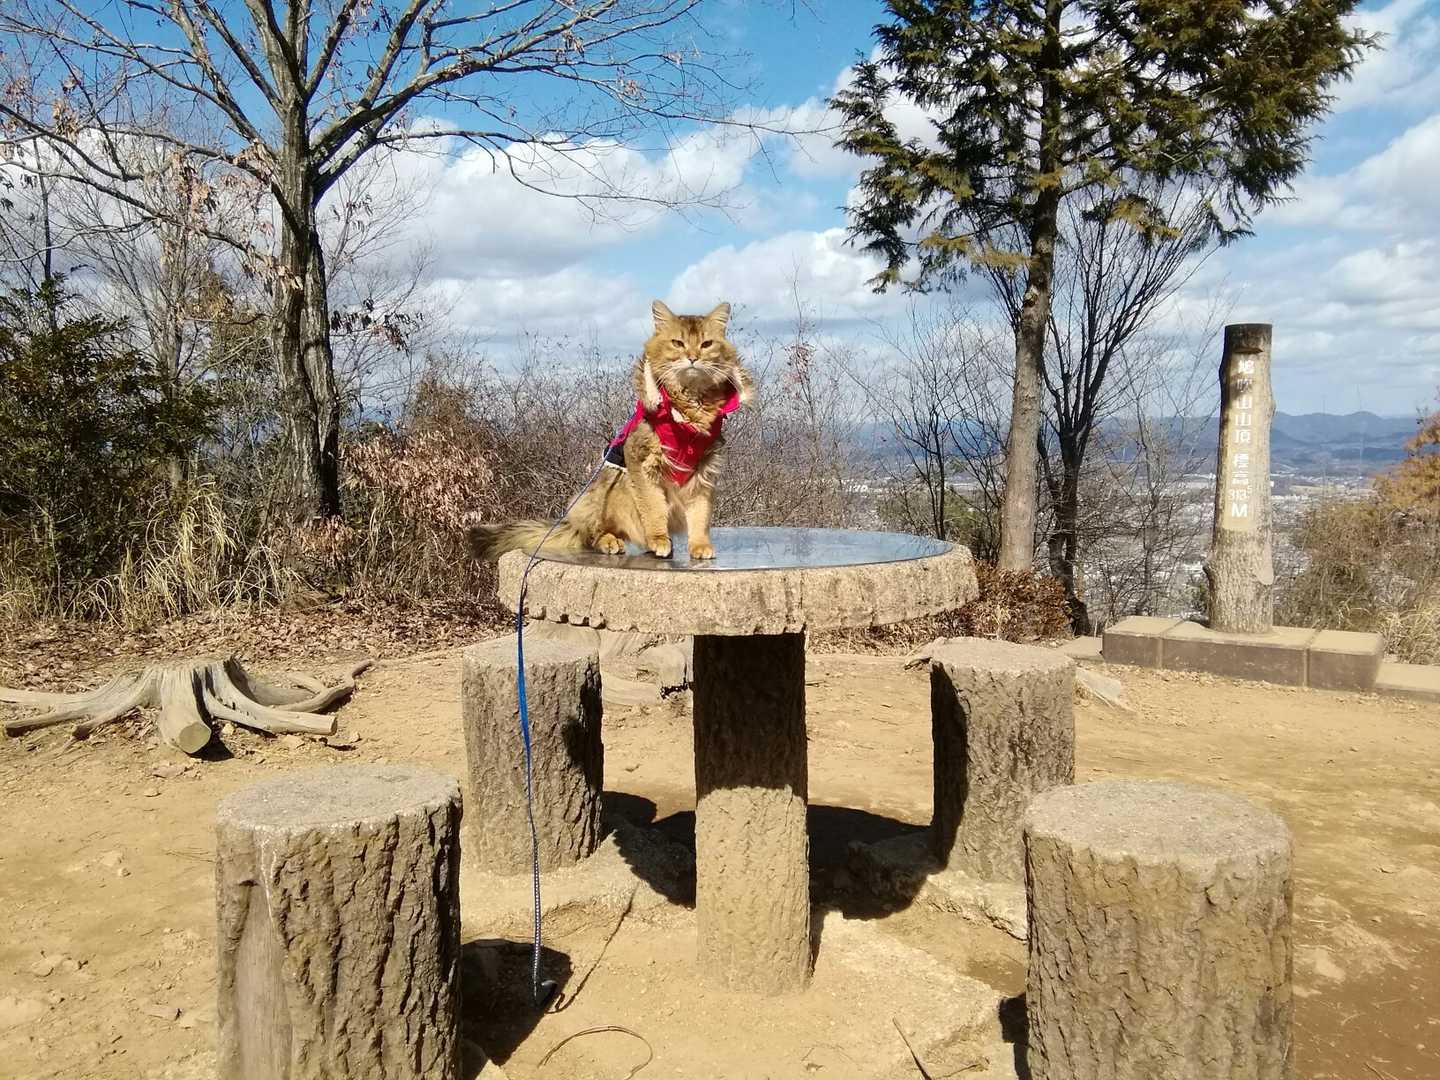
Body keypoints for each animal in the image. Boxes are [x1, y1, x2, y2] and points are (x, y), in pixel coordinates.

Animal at [466, 299, 755, 562]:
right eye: (678, 343)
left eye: (706, 344)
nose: (693, 358)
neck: (689, 412)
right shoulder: (642, 461)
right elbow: (654, 508)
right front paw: (659, 539)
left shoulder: (705, 469)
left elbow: (700, 514)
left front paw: (700, 546)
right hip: (598, 495)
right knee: (591, 535)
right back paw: (612, 542)